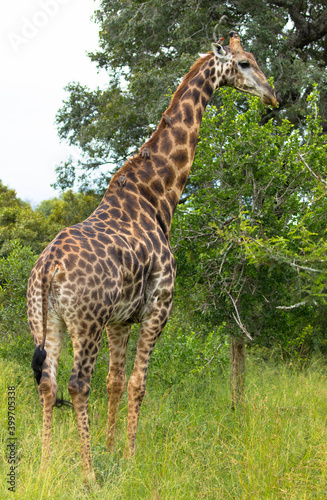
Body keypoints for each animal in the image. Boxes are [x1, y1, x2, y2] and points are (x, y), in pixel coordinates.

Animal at [27, 30, 276, 480]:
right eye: (245, 63)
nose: (272, 96)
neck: (158, 194)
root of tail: (48, 269)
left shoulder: (120, 319)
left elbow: (115, 381)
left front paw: (110, 449)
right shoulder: (159, 308)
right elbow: (138, 384)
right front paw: (128, 458)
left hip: (45, 320)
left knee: (48, 383)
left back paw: (44, 468)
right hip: (85, 322)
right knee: (76, 384)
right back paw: (87, 476)